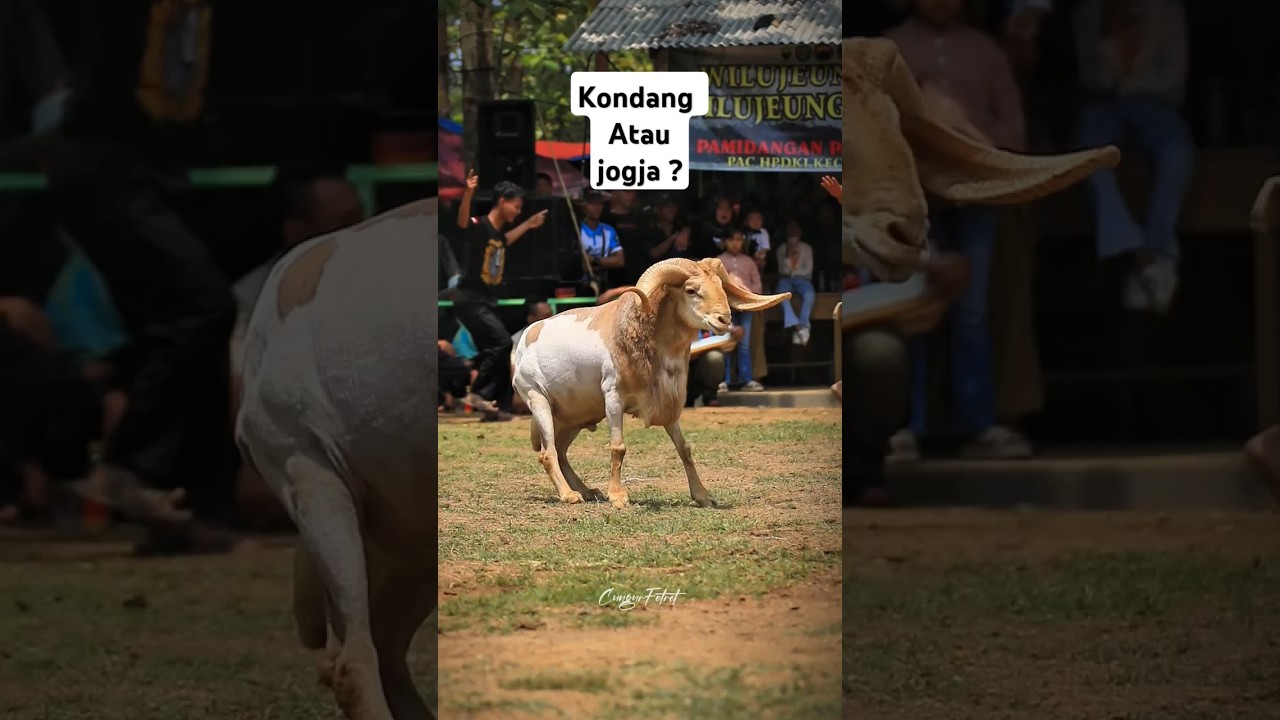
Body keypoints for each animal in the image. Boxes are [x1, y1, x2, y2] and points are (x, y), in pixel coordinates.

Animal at [511, 257, 789, 509]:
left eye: (720, 286)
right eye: (691, 290)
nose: (724, 319)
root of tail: (523, 343)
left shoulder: (667, 404)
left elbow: (684, 448)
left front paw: (703, 496)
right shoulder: (613, 398)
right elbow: (618, 448)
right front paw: (618, 497)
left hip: (573, 418)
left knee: (560, 451)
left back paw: (588, 491)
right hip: (539, 402)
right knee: (548, 453)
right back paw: (570, 495)